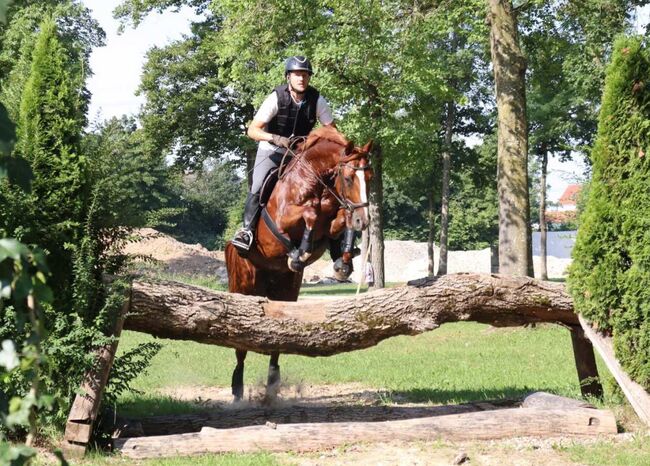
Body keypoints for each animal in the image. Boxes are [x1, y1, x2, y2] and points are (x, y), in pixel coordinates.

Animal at [225, 126, 372, 400]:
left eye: (370, 175)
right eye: (349, 178)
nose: (364, 221)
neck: (316, 182)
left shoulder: (332, 218)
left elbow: (340, 219)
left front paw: (343, 262)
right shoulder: (283, 219)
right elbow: (310, 213)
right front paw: (300, 251)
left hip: (286, 290)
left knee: (278, 338)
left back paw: (272, 384)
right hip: (244, 286)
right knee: (240, 344)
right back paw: (237, 387)